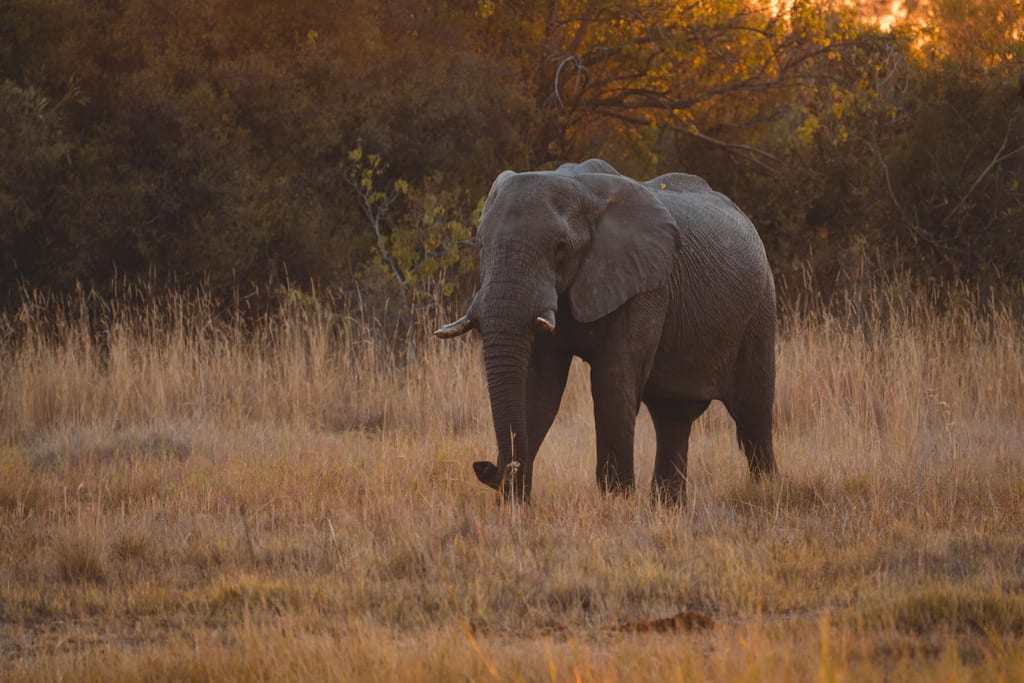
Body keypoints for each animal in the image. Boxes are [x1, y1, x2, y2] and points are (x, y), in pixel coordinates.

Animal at [435, 159, 776, 504]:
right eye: (480, 245)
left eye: (560, 247)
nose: (485, 467)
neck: (583, 191)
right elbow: (540, 386)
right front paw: (514, 505)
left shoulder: (645, 287)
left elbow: (612, 382)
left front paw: (617, 503)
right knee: (673, 417)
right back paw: (667, 508)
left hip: (761, 308)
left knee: (753, 417)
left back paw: (766, 490)